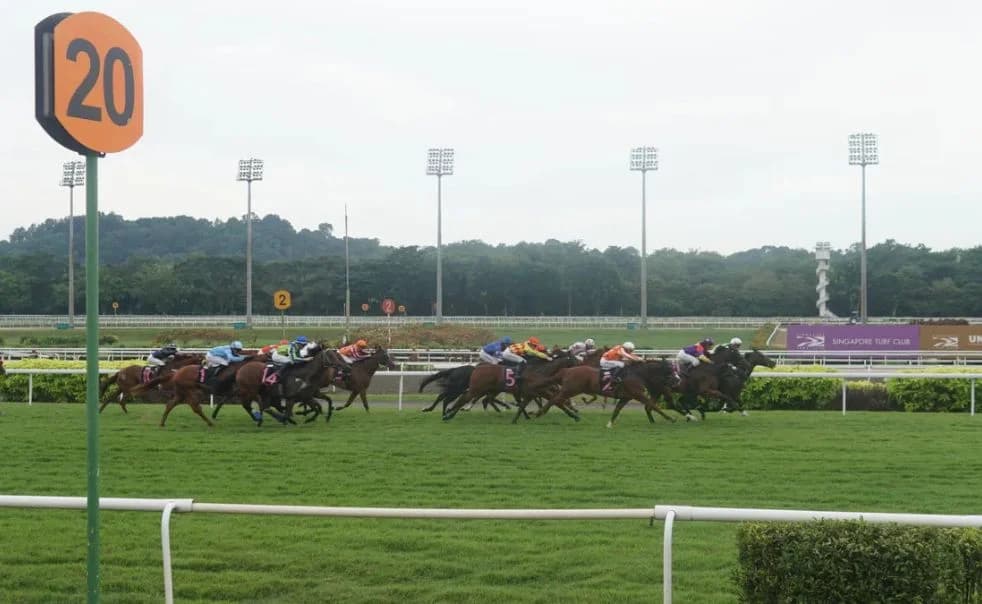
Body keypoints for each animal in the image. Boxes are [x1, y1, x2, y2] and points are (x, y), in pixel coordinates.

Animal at [532, 360, 676, 428]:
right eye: (671, 371)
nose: (678, 379)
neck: (637, 374)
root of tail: (567, 370)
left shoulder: (625, 397)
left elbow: (617, 410)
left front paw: (609, 424)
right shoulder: (638, 394)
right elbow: (654, 406)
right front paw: (670, 418)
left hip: (569, 390)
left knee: (555, 399)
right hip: (570, 390)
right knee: (554, 400)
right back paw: (539, 413)